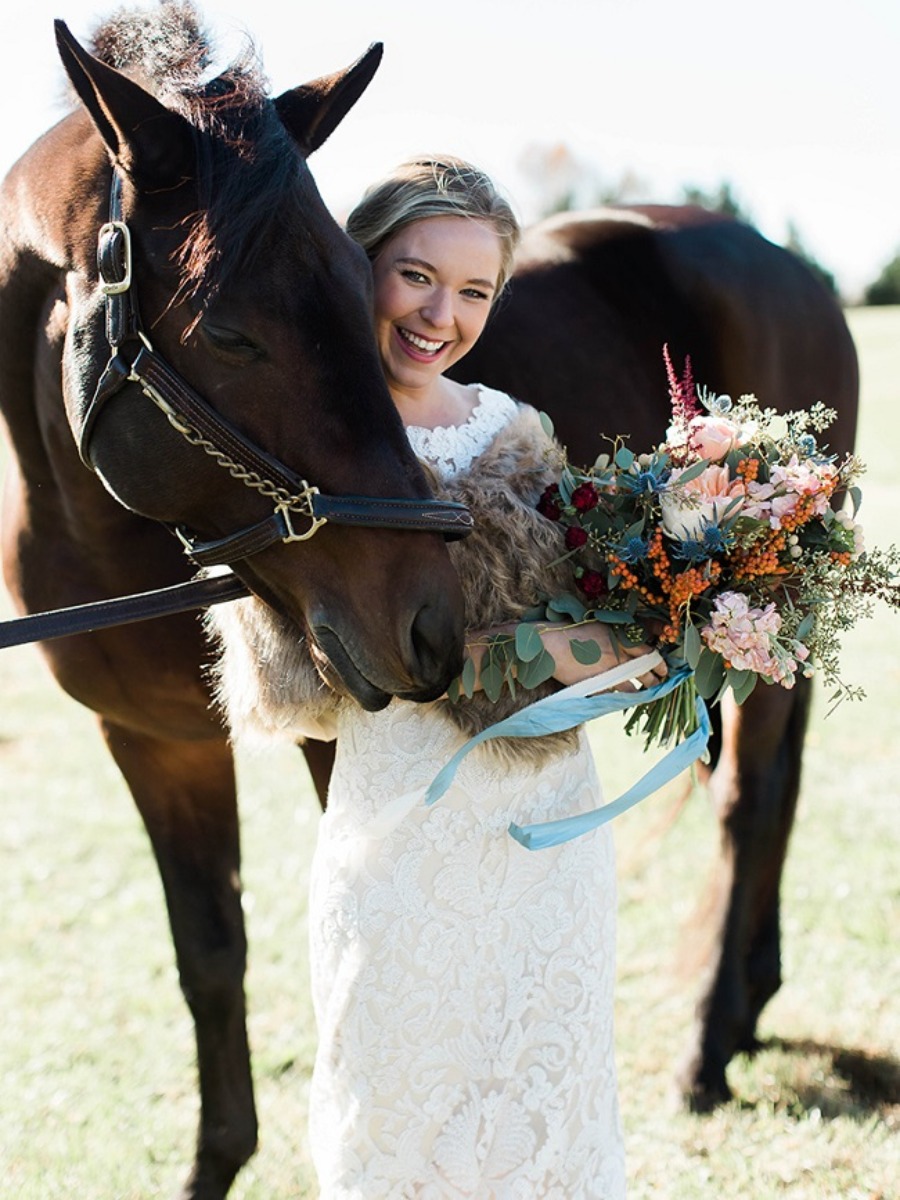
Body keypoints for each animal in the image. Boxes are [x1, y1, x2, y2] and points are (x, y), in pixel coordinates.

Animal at [0, 4, 468, 1195]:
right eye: (230, 333)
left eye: (367, 287)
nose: (431, 622)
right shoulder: (153, 741)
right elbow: (210, 954)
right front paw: (219, 1158)